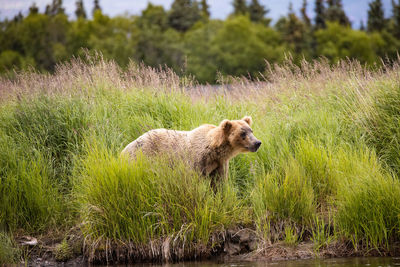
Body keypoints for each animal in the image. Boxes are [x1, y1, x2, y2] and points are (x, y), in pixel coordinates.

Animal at [120, 117, 260, 182]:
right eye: (243, 133)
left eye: (251, 130)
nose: (257, 142)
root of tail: (124, 149)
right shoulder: (196, 161)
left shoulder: (219, 164)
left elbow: (218, 183)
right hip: (142, 157)